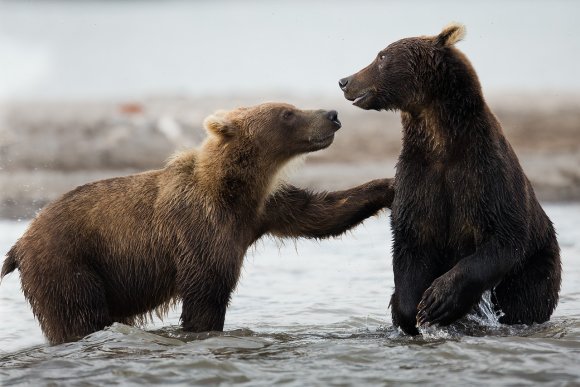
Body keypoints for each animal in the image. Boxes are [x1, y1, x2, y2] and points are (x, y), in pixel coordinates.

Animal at [1, 101, 394, 344]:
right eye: (286, 112)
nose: (331, 113)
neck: (233, 189)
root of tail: (20, 243)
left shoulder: (264, 210)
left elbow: (319, 214)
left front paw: (387, 186)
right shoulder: (199, 227)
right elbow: (206, 292)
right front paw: (203, 331)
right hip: (68, 262)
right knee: (78, 316)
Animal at [340, 23, 560, 336]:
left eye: (381, 57)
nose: (345, 81)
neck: (442, 141)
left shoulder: (486, 175)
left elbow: (504, 238)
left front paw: (438, 301)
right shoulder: (419, 177)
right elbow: (411, 240)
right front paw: (411, 310)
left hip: (537, 263)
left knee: (526, 300)